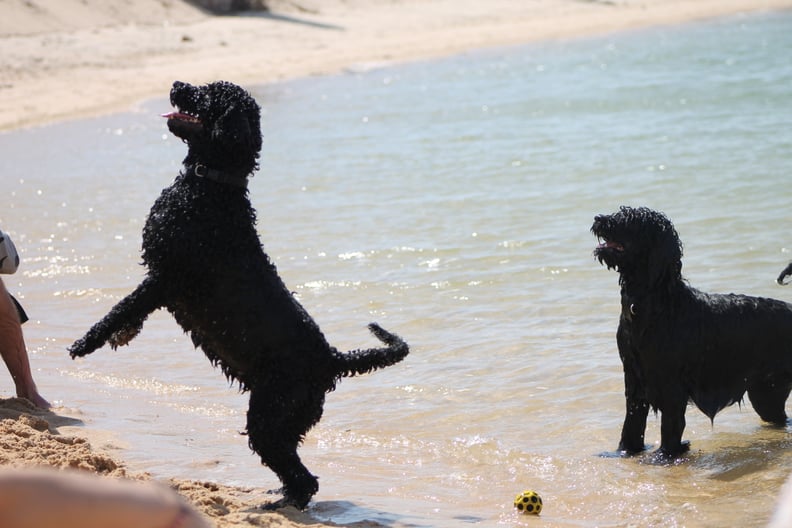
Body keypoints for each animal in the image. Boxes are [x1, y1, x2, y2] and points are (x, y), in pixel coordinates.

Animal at [69, 80, 408, 510]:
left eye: (207, 94)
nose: (176, 84)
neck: (211, 187)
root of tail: (331, 359)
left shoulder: (166, 277)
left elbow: (123, 305)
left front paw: (87, 342)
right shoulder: (161, 279)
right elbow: (133, 311)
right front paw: (122, 335)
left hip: (271, 414)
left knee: (304, 478)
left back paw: (278, 505)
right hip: (284, 419)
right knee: (296, 471)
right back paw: (279, 497)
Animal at [592, 204, 792, 460]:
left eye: (630, 219)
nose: (598, 219)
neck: (656, 305)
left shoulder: (671, 384)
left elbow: (671, 426)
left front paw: (665, 456)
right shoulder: (634, 378)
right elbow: (632, 423)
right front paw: (624, 452)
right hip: (766, 394)